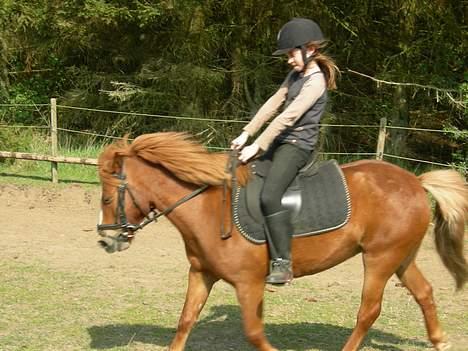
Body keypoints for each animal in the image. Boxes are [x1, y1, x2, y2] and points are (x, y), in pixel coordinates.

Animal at [97, 132, 466, 351]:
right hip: (401, 257)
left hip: (379, 259)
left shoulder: (249, 283)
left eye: (106, 197)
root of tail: (416, 182)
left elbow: (254, 332)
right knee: (424, 293)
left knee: (368, 311)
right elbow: (186, 320)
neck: (206, 207)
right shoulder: (201, 274)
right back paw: (439, 341)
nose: (106, 240)